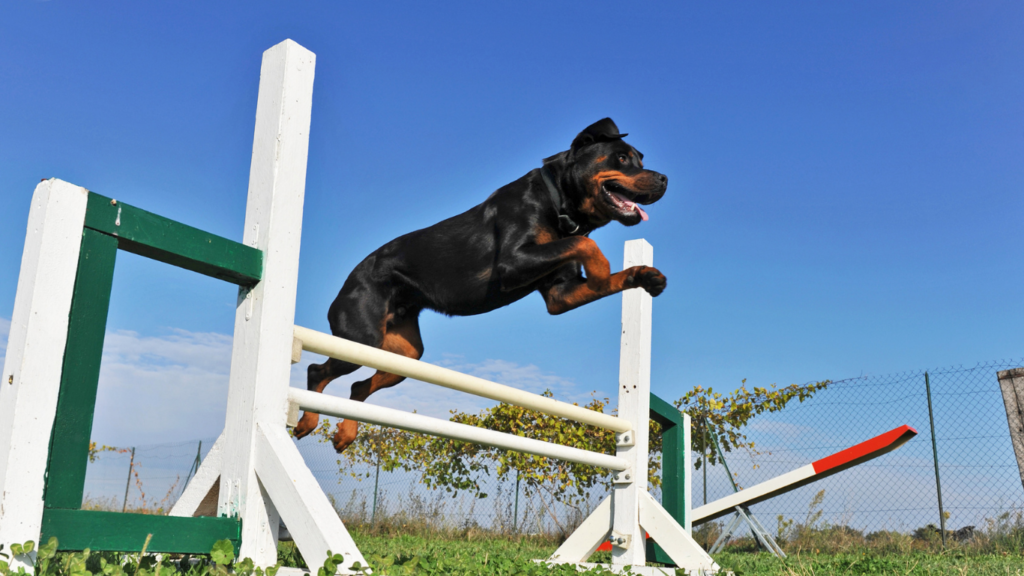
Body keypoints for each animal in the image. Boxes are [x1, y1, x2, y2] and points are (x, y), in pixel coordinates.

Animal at [292, 118, 667, 450]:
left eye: (641, 159)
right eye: (622, 158)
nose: (663, 178)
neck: (557, 199)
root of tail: (346, 284)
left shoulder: (561, 294)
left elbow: (595, 266)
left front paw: (645, 275)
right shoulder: (513, 263)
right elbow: (586, 246)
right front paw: (602, 266)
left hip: (404, 354)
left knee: (357, 388)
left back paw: (345, 434)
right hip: (360, 338)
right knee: (315, 371)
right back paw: (307, 421)